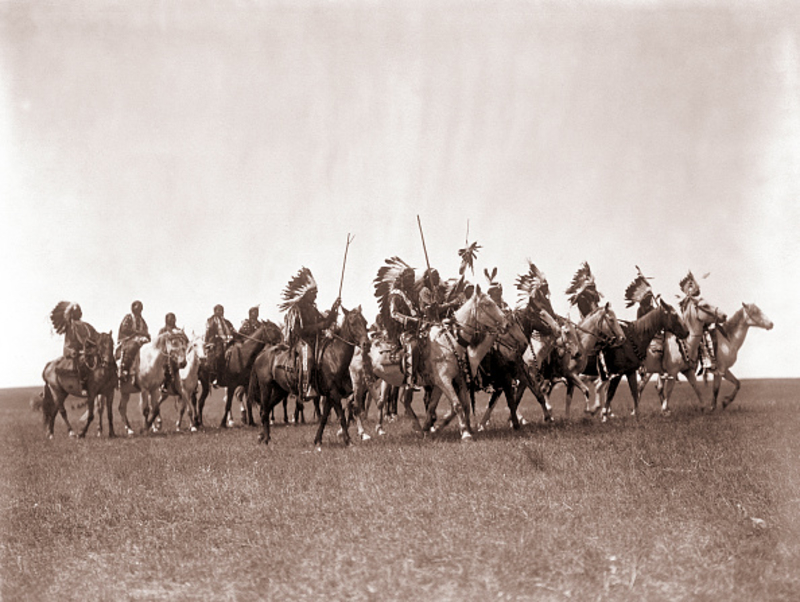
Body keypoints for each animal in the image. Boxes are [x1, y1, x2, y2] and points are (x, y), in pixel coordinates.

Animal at [252, 302, 370, 448]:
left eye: (365, 322)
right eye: (353, 323)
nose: (367, 344)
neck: (334, 357)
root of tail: (260, 355)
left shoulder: (330, 395)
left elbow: (324, 418)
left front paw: (318, 440)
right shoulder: (334, 393)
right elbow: (341, 416)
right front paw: (348, 440)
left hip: (280, 390)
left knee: (267, 409)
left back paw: (263, 436)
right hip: (266, 387)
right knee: (264, 411)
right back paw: (266, 439)